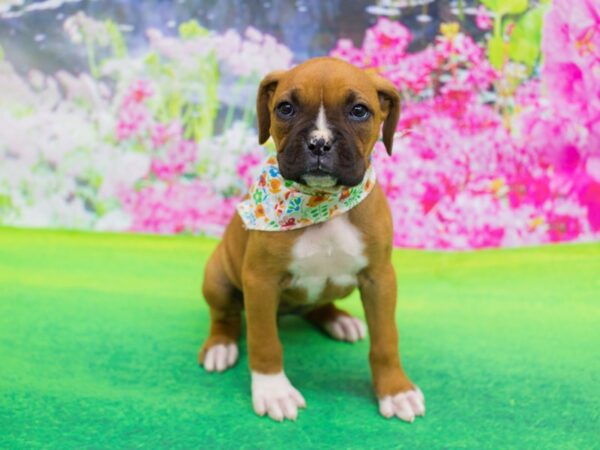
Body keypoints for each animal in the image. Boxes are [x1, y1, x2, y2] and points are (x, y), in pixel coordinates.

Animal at [199, 56, 424, 422]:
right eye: (285, 108)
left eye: (359, 111)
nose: (319, 143)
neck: (322, 204)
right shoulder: (260, 282)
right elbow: (264, 341)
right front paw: (273, 390)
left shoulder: (379, 279)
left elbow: (386, 340)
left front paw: (395, 390)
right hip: (216, 278)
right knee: (225, 316)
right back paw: (221, 345)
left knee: (319, 304)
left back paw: (339, 320)